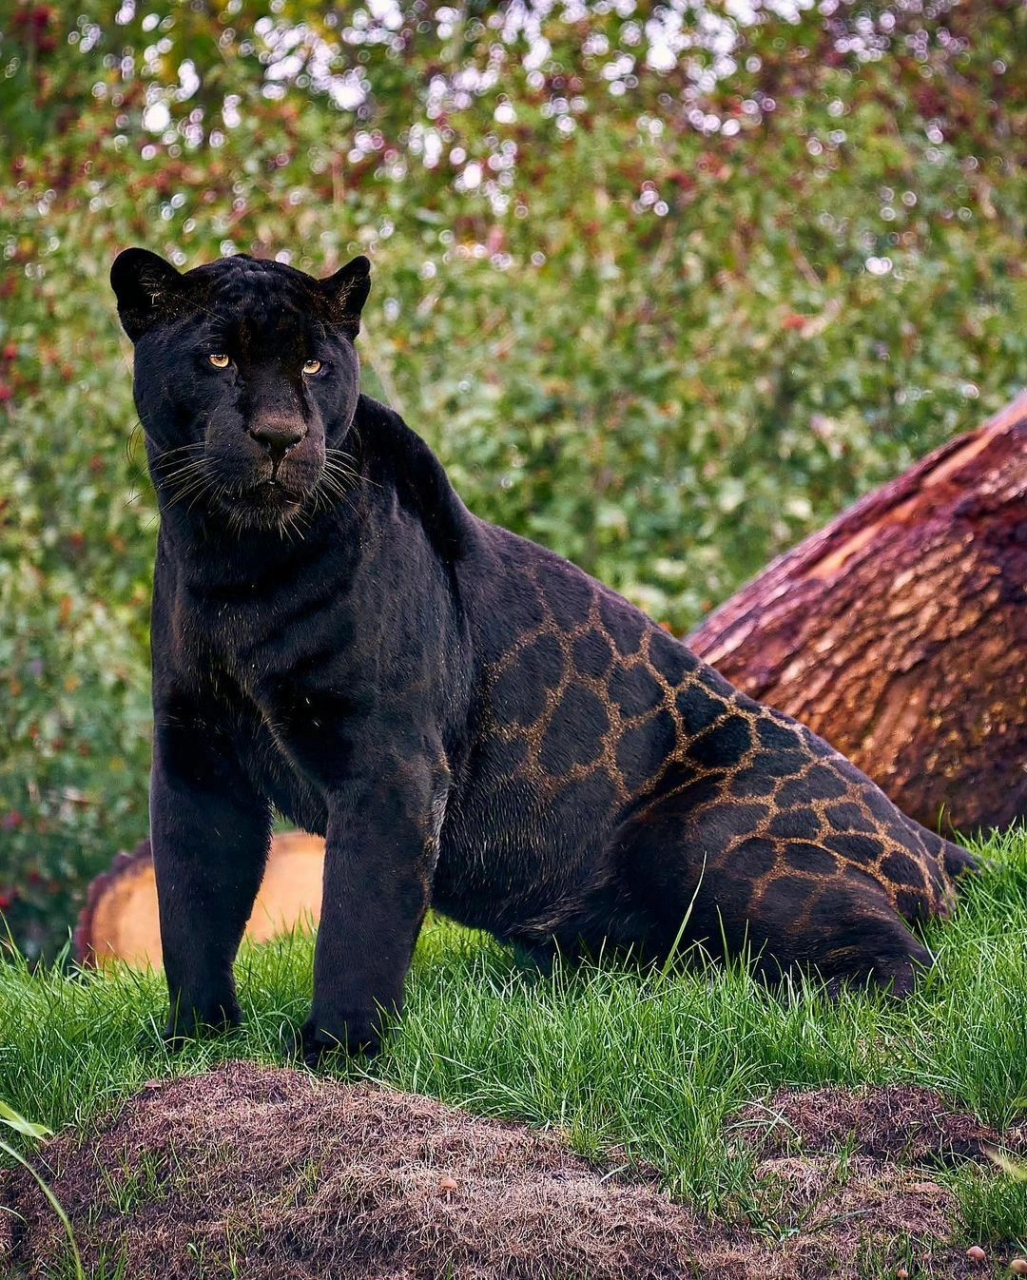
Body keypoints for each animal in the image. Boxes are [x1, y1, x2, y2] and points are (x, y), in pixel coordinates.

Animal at [110, 247, 968, 1059]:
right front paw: (196, 1041)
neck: (235, 564)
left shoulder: (387, 763)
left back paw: (773, 1013)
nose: (280, 435)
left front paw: (338, 1051)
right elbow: (193, 909)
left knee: (903, 964)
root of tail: (930, 838)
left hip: (711, 841)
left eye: (315, 366)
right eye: (219, 357)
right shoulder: (196, 758)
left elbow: (355, 920)